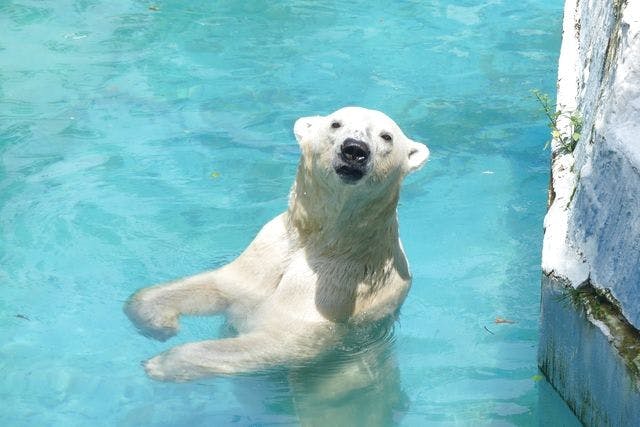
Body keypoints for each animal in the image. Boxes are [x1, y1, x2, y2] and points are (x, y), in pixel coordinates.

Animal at [124, 106, 430, 382]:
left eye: (387, 136)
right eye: (336, 124)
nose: (354, 150)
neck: (320, 240)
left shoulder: (335, 288)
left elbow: (282, 341)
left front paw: (162, 363)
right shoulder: (267, 252)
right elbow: (221, 284)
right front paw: (159, 321)